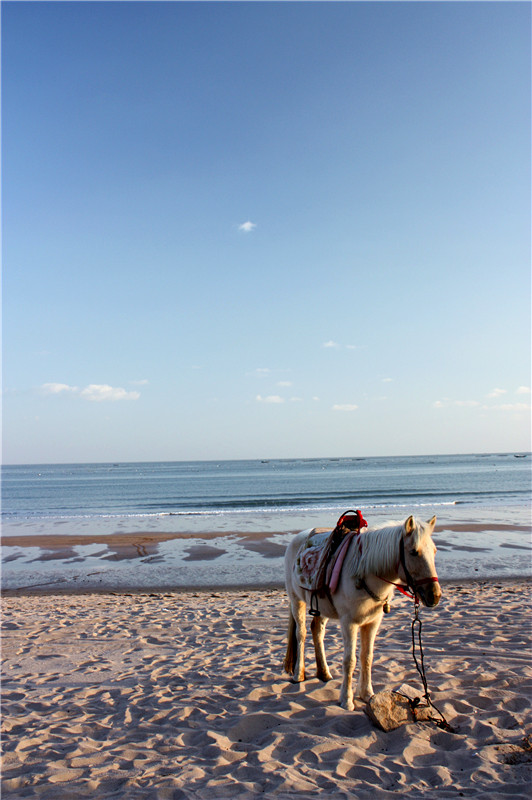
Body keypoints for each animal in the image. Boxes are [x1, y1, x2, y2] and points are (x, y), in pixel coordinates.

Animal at [284, 516, 442, 708]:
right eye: (413, 552)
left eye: (434, 551)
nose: (435, 595)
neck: (364, 573)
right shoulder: (349, 623)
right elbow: (349, 661)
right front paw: (346, 700)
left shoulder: (372, 622)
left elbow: (367, 657)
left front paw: (367, 694)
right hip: (296, 601)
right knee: (301, 634)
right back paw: (298, 674)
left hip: (321, 607)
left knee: (317, 631)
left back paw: (324, 673)